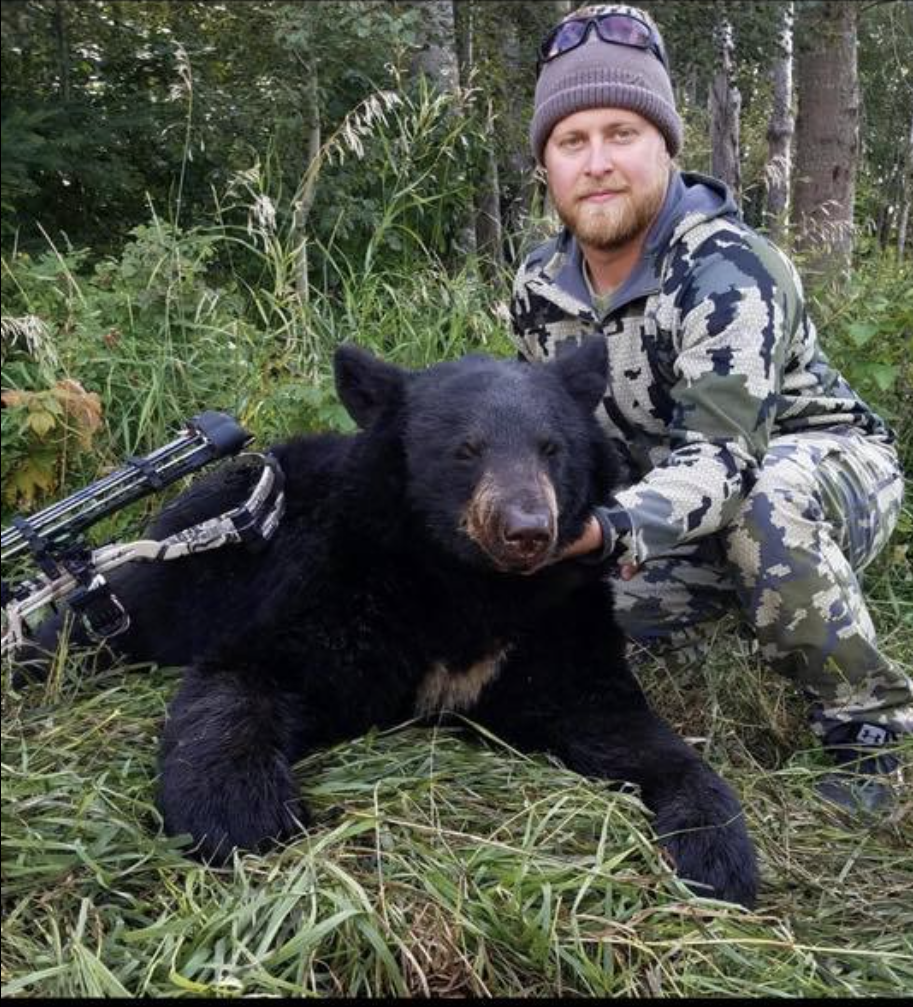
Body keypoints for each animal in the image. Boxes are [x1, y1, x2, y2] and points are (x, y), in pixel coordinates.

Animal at [25, 338, 758, 908]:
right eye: (466, 449)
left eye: (552, 448)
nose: (525, 529)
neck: (468, 586)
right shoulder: (338, 590)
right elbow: (246, 675)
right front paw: (240, 814)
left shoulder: (552, 626)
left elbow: (626, 726)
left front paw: (718, 853)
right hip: (184, 564)